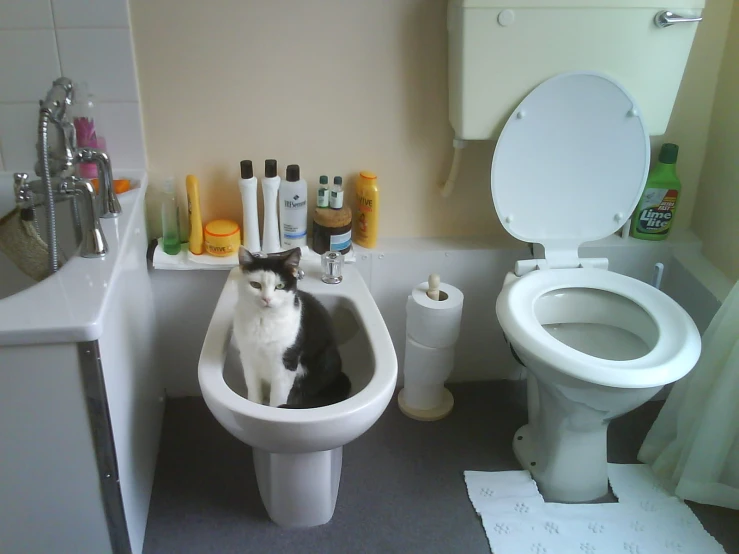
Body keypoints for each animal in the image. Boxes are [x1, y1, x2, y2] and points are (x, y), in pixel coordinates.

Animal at [234, 245, 352, 406]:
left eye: (280, 286)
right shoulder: (247, 356)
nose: (266, 299)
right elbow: (253, 388)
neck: (263, 321)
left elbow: (278, 397)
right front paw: (255, 404)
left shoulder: (286, 362)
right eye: (255, 285)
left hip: (325, 361)